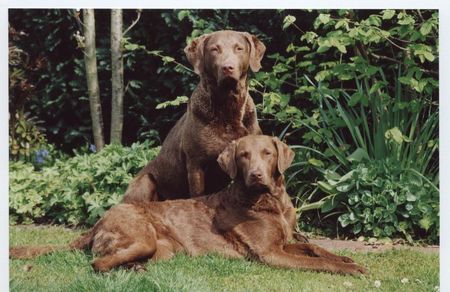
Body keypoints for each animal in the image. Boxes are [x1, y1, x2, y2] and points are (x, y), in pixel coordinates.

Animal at [9, 136, 366, 274]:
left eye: (267, 153)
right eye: (243, 155)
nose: (256, 175)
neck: (271, 203)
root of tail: (97, 222)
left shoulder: (285, 242)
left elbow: (317, 249)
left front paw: (349, 259)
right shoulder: (269, 253)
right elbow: (317, 262)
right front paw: (349, 269)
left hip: (163, 250)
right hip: (142, 236)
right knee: (98, 264)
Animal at [121, 30, 266, 203]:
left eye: (239, 48)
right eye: (214, 49)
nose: (227, 68)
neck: (228, 109)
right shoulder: (196, 165)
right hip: (145, 181)